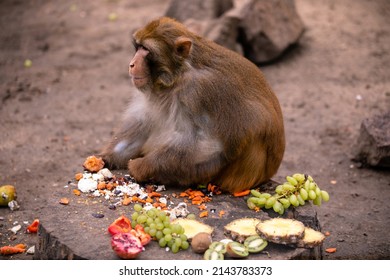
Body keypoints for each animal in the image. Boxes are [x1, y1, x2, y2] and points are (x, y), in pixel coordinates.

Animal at [99, 16, 284, 194]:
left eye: (146, 50)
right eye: (138, 47)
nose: (132, 64)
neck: (176, 76)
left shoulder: (198, 90)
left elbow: (210, 146)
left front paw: (140, 167)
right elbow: (143, 120)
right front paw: (106, 157)